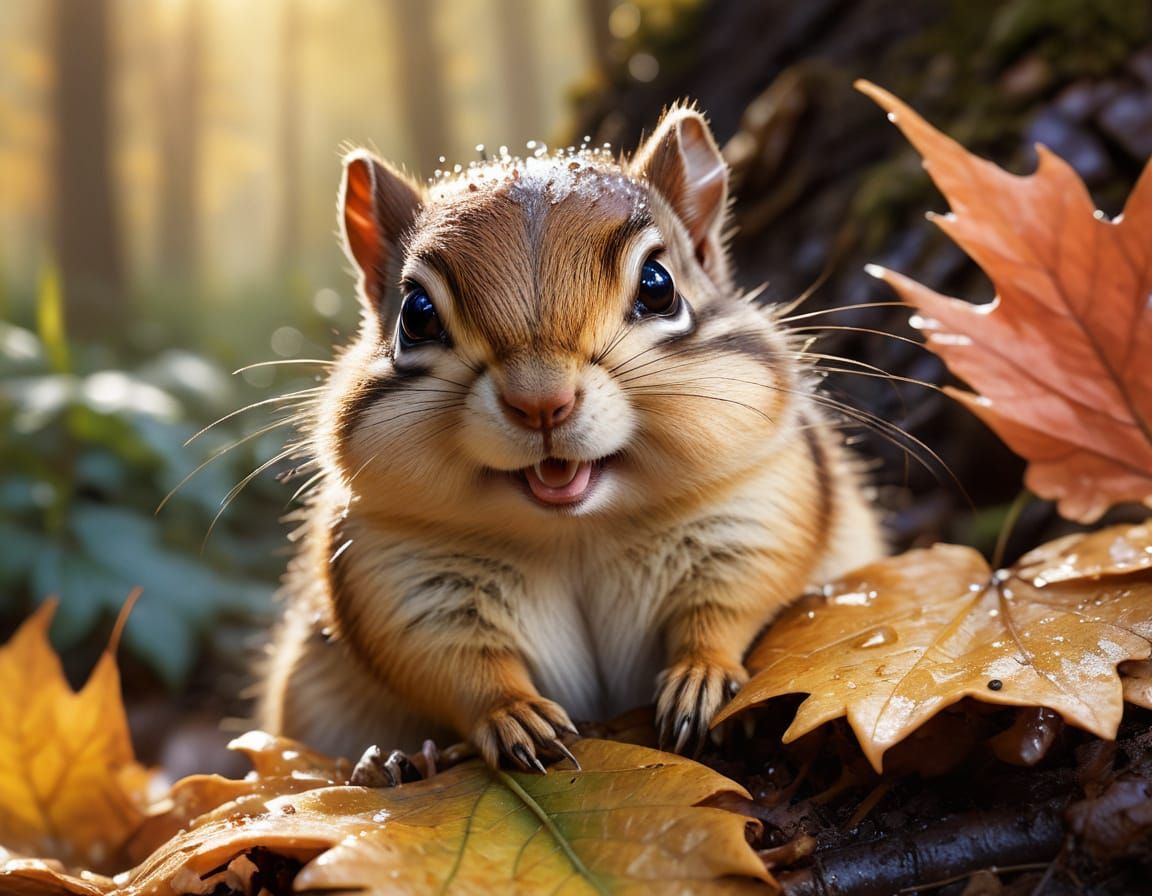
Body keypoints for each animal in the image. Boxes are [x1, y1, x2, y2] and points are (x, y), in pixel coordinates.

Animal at [258, 105, 884, 771]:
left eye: (659, 285)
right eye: (416, 315)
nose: (540, 401)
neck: (577, 532)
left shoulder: (757, 507)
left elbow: (731, 603)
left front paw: (702, 677)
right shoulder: (399, 574)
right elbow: (453, 663)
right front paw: (514, 715)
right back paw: (395, 763)